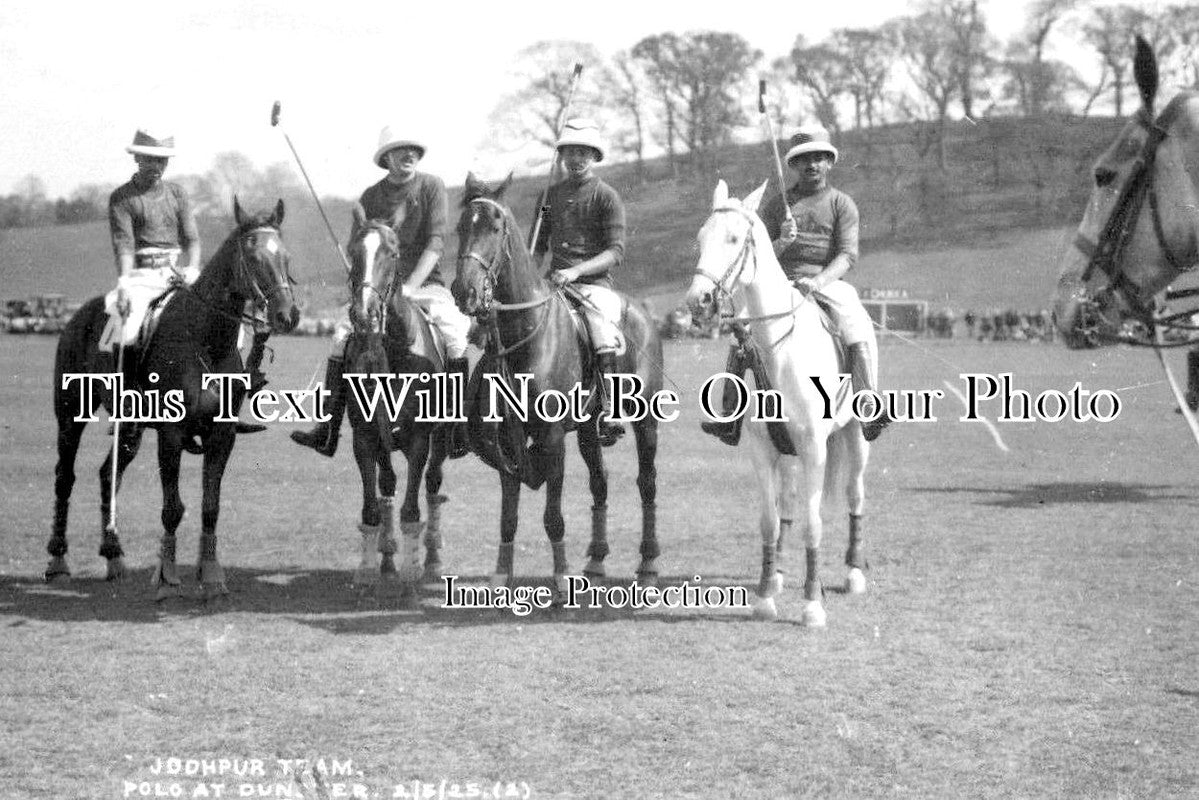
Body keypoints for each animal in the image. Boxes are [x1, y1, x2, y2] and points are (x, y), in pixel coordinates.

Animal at [51, 200, 302, 599]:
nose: (287, 315)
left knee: (108, 475)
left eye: (285, 256)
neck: (206, 339)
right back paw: (57, 561)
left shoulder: (221, 435)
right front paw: (167, 577)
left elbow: (210, 506)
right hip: (71, 413)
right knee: (65, 476)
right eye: (252, 255)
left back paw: (113, 555)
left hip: (130, 429)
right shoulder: (170, 434)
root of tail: (77, 316)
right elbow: (172, 508)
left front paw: (211, 575)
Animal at [342, 208, 450, 587]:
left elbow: (411, 510)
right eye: (354, 251)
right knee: (387, 483)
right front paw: (366, 570)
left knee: (432, 485)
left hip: (440, 441)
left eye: (392, 253)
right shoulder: (364, 437)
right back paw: (387, 558)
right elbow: (372, 507)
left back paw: (431, 561)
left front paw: (412, 569)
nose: (364, 313)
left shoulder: (419, 440)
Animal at [450, 172, 661, 592]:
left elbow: (553, 516)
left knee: (646, 482)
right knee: (600, 482)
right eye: (461, 227)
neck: (525, 335)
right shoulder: (507, 442)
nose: (464, 291)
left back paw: (647, 563)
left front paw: (561, 579)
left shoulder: (551, 439)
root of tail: (643, 313)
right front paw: (501, 575)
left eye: (495, 227)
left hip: (645, 420)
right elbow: (509, 517)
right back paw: (595, 561)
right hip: (588, 430)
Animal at [685, 179, 872, 623]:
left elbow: (813, 524)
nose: (698, 301)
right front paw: (766, 596)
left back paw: (854, 573)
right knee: (786, 504)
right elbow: (770, 522)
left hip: (856, 437)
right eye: (701, 239)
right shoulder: (763, 450)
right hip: (787, 455)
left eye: (735, 239)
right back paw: (782, 574)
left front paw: (813, 605)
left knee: (855, 495)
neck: (778, 351)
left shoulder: (816, 449)